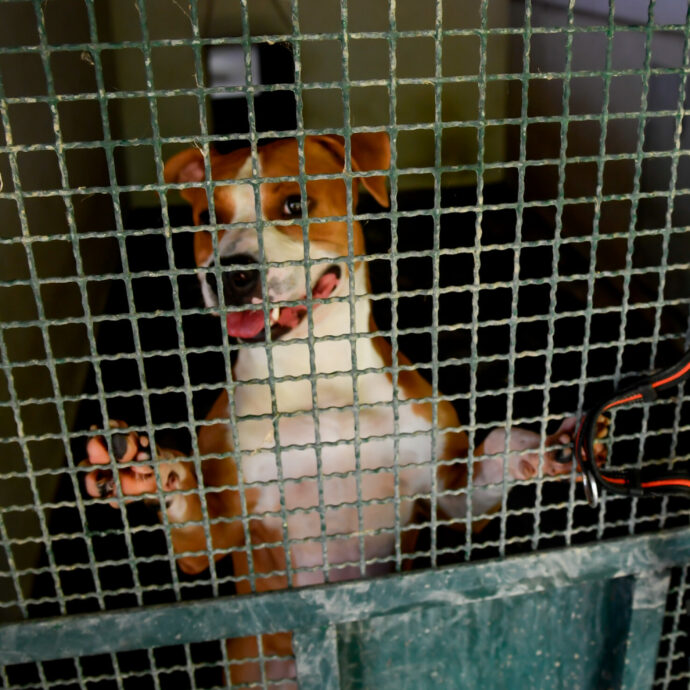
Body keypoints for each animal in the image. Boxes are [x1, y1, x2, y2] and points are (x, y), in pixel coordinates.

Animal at [83, 133, 592, 684]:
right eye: (207, 217)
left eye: (294, 205)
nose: (231, 273)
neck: (316, 379)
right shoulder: (215, 536)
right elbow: (194, 523)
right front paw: (148, 470)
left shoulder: (446, 498)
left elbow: (492, 461)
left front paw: (541, 450)